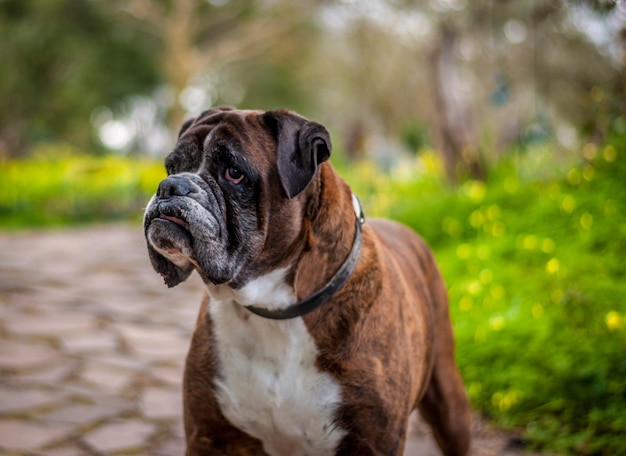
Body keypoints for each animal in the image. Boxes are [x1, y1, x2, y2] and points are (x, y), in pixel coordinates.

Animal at [144, 105, 470, 454]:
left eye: (234, 173)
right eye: (171, 167)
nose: (170, 186)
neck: (274, 309)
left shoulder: (372, 443)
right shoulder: (209, 436)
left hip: (450, 404)